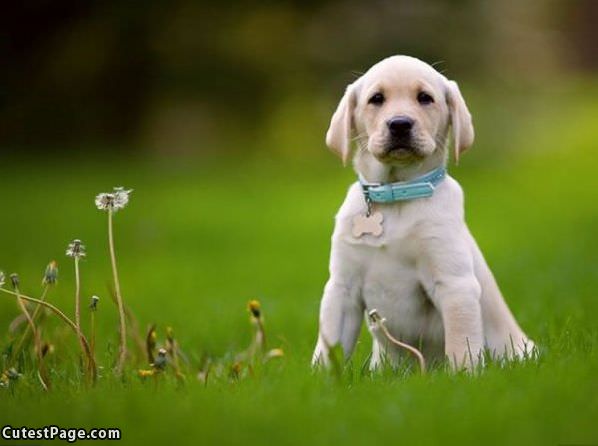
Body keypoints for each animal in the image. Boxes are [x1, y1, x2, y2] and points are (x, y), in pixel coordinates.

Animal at [314, 55, 536, 370]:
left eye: (424, 98)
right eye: (376, 99)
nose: (400, 124)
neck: (396, 192)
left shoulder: (455, 284)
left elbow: (461, 343)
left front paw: (463, 376)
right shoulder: (342, 288)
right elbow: (329, 345)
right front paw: (320, 377)